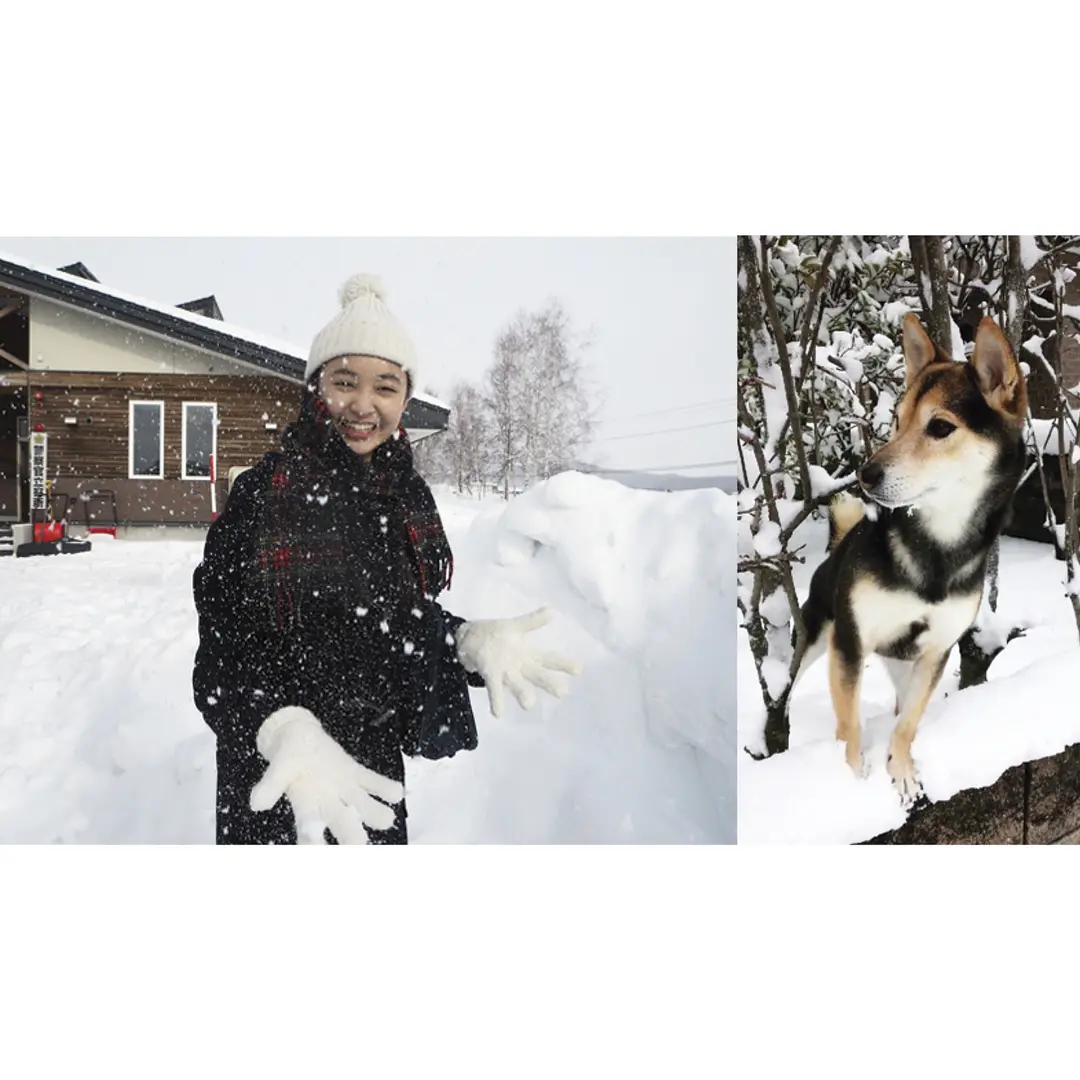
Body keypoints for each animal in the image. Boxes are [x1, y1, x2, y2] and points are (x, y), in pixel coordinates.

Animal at [794, 311, 1028, 803]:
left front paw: (900, 769)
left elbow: (908, 723)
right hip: (814, 639)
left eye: (940, 427)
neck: (936, 548)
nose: (865, 474)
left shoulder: (936, 651)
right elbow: (848, 723)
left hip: (901, 662)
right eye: (897, 420)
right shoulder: (850, 642)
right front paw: (850, 776)